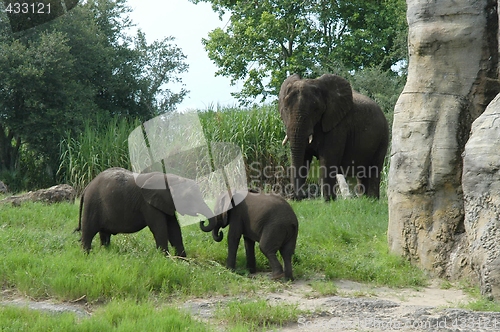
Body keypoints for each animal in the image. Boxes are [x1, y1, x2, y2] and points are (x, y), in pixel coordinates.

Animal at [75, 169, 213, 256]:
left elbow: (174, 228)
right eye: (189, 197)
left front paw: (183, 260)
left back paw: (106, 252)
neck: (169, 178)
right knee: (88, 232)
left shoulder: (165, 203)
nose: (202, 221)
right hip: (92, 204)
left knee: (104, 235)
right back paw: (86, 255)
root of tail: (86, 188)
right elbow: (159, 228)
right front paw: (164, 259)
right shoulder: (148, 205)